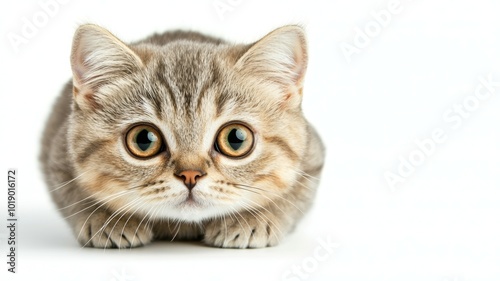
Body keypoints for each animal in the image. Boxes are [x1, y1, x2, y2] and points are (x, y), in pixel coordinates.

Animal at [41, 23, 326, 247]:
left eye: (236, 139)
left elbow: (291, 197)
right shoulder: (57, 155)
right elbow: (74, 195)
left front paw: (255, 218)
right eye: (143, 140)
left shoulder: (312, 159)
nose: (191, 175)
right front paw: (105, 219)